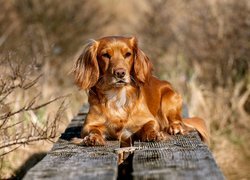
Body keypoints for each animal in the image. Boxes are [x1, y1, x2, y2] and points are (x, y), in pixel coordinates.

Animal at [72, 35, 209, 146]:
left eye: (128, 54)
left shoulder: (150, 120)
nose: (120, 73)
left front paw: (154, 134)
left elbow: (150, 126)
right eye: (105, 55)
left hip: (169, 98)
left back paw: (174, 127)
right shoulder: (88, 125)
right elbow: (93, 130)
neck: (117, 95)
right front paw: (93, 138)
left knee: (177, 120)